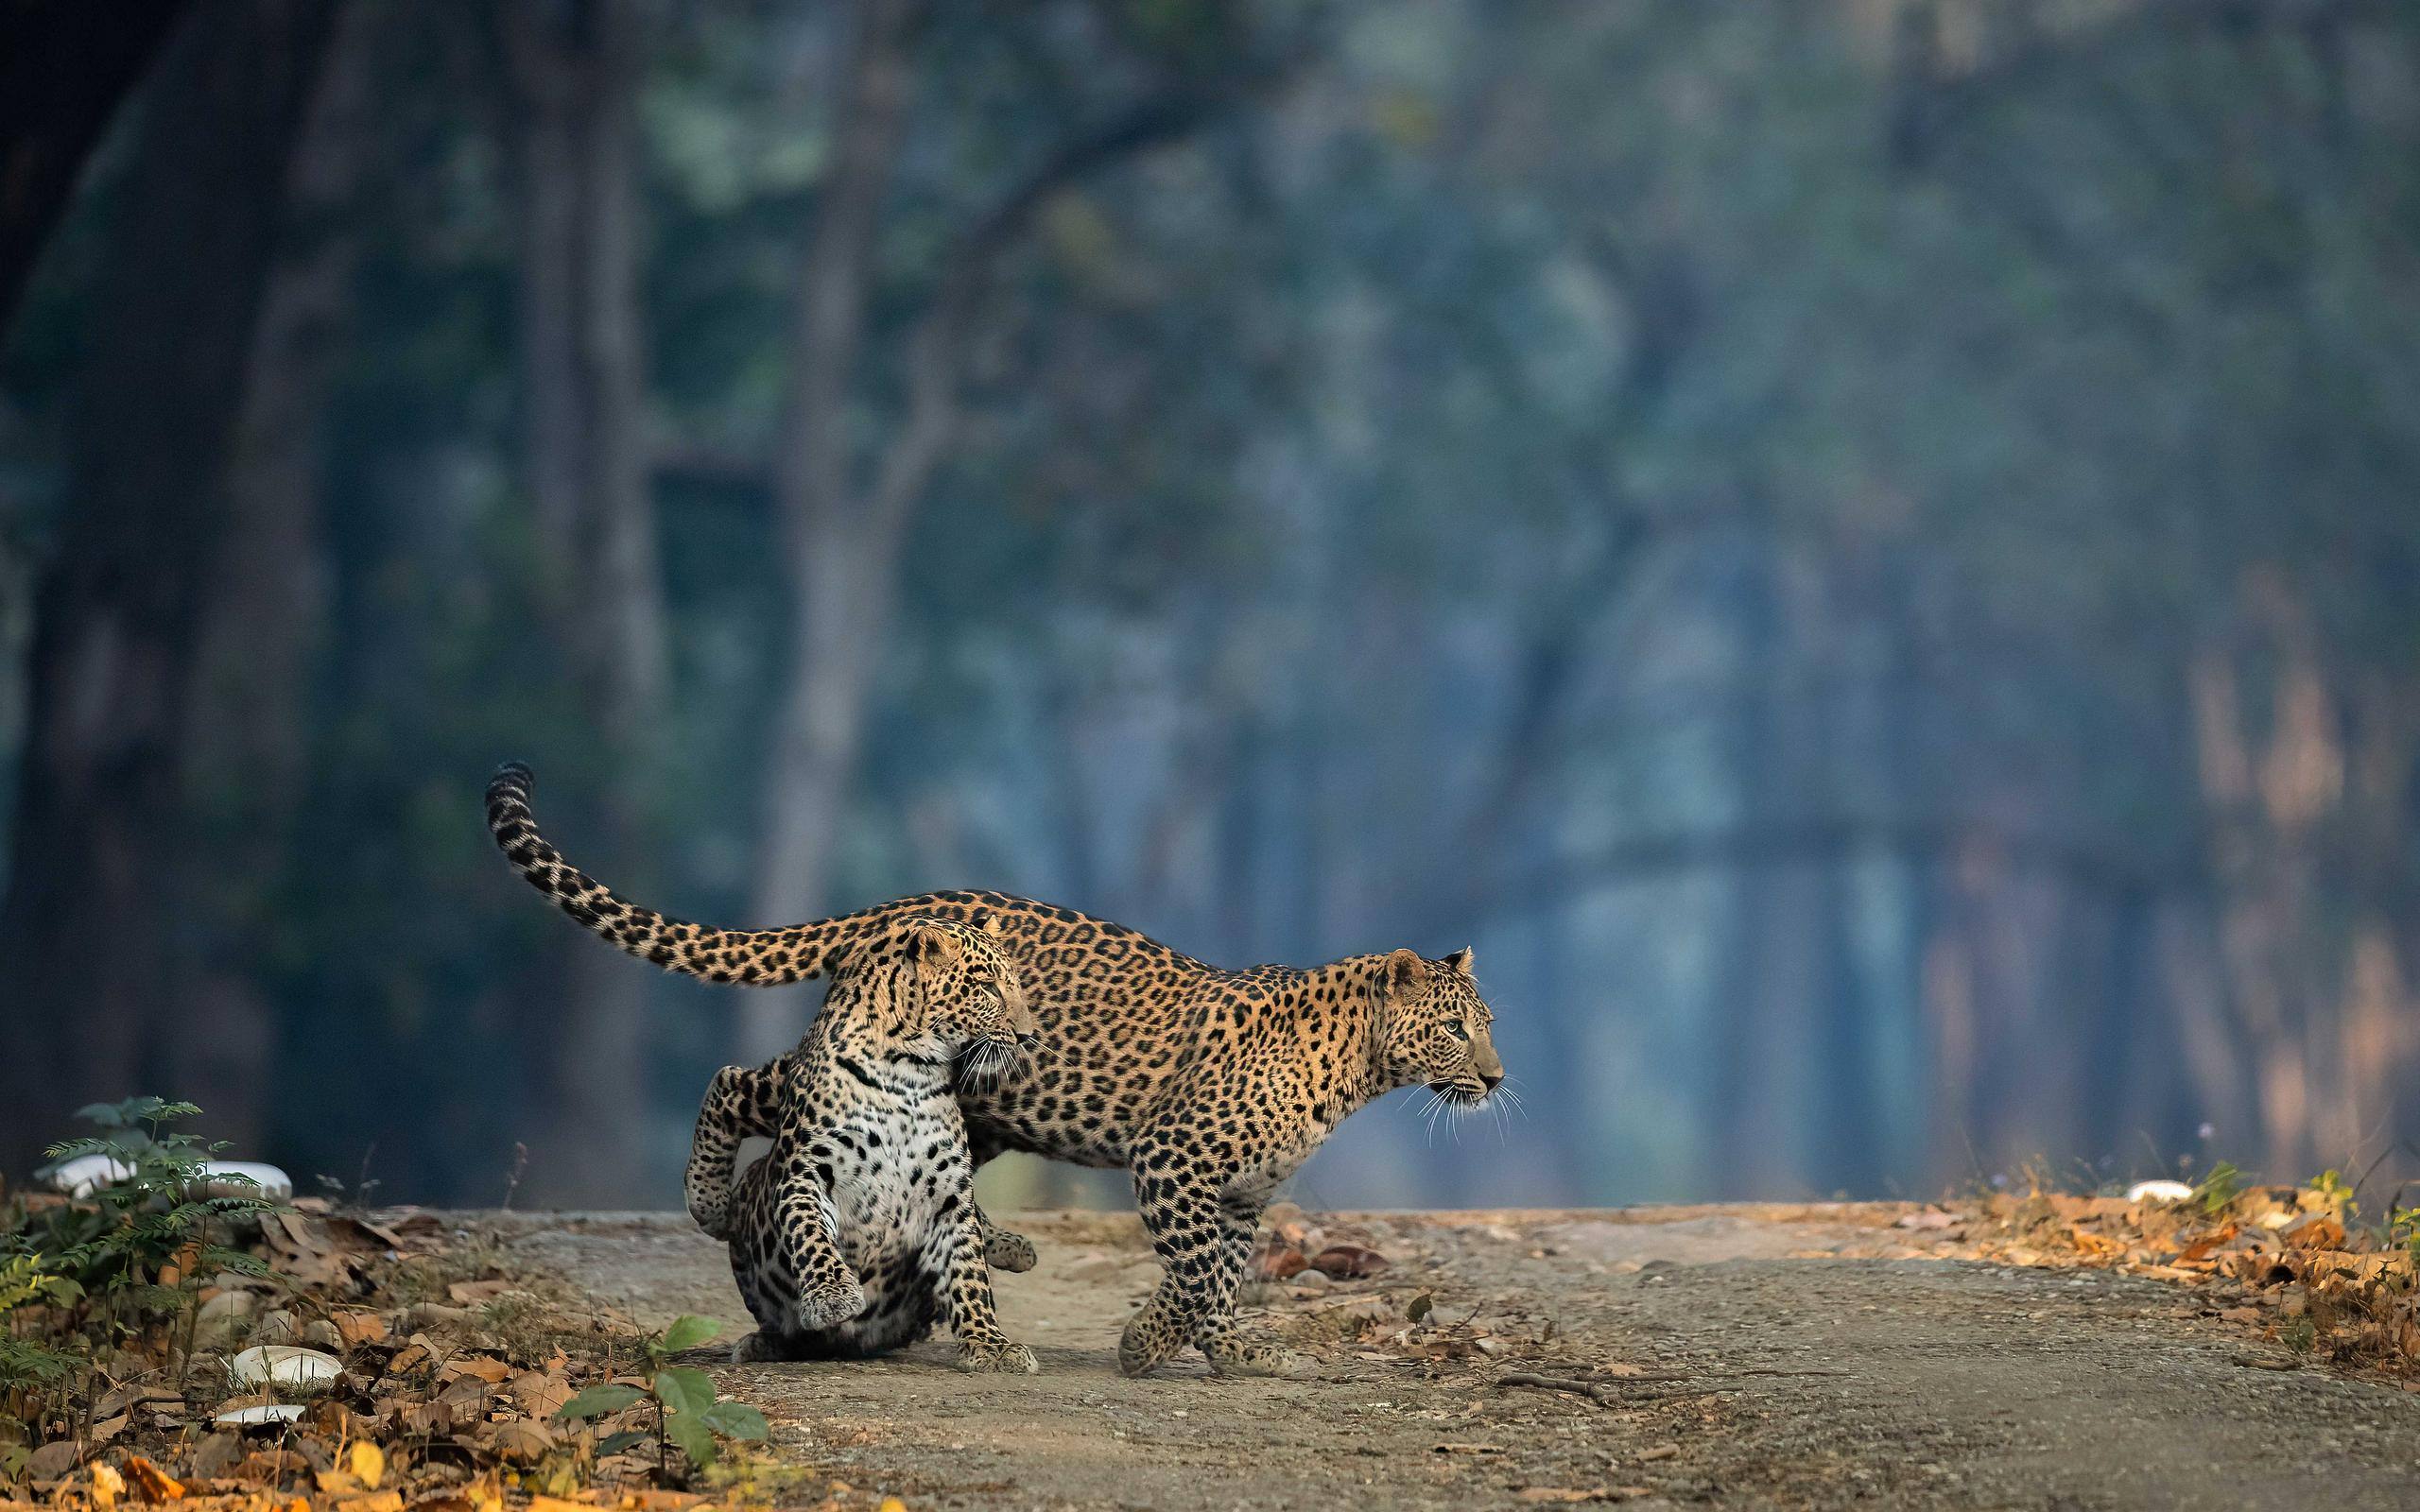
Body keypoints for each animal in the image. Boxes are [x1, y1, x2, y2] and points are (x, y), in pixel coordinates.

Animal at [685, 914, 1043, 1372]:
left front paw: (990, 1344)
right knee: (728, 1081)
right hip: (753, 1179)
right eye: (988, 988)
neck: (909, 1071)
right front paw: (833, 1296)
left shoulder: (950, 1195)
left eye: (1015, 986)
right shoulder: (805, 1171)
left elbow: (968, 1271)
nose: (1027, 1036)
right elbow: (811, 1233)